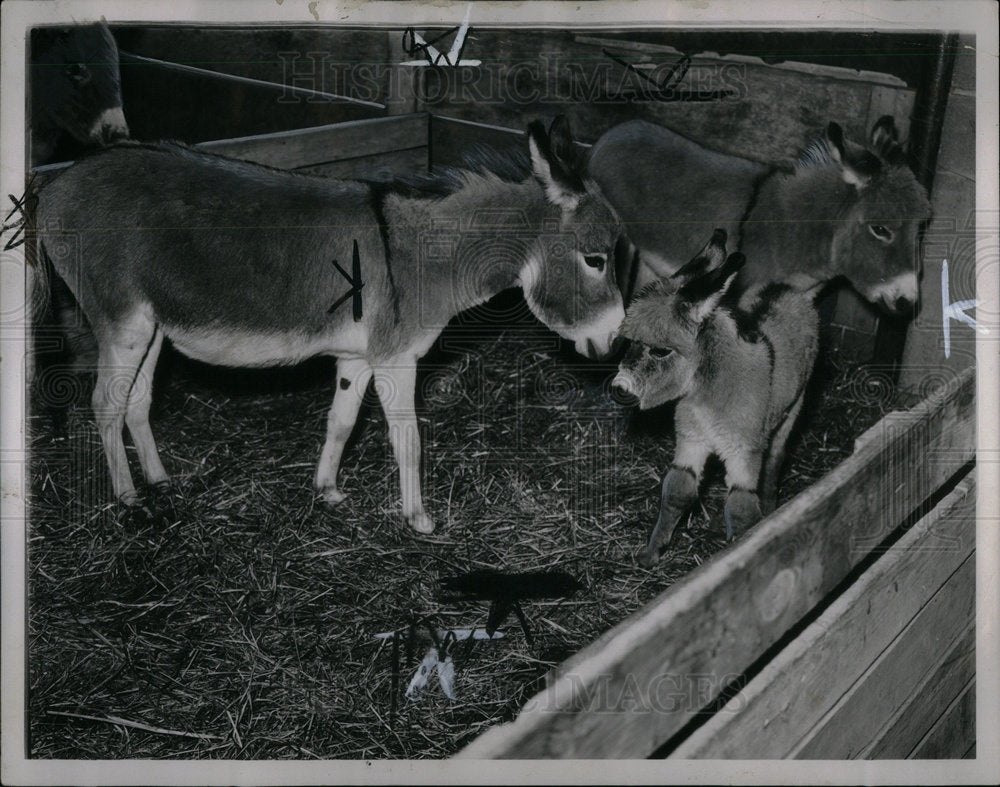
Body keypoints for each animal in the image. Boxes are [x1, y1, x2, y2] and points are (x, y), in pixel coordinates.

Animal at [616, 228, 820, 568]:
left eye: (660, 351)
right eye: (629, 342)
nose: (619, 390)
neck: (705, 393)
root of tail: (787, 288)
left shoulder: (742, 453)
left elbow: (739, 510)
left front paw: (734, 560)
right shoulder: (692, 440)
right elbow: (677, 490)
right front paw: (651, 554)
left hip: (794, 407)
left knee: (775, 460)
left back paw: (771, 509)